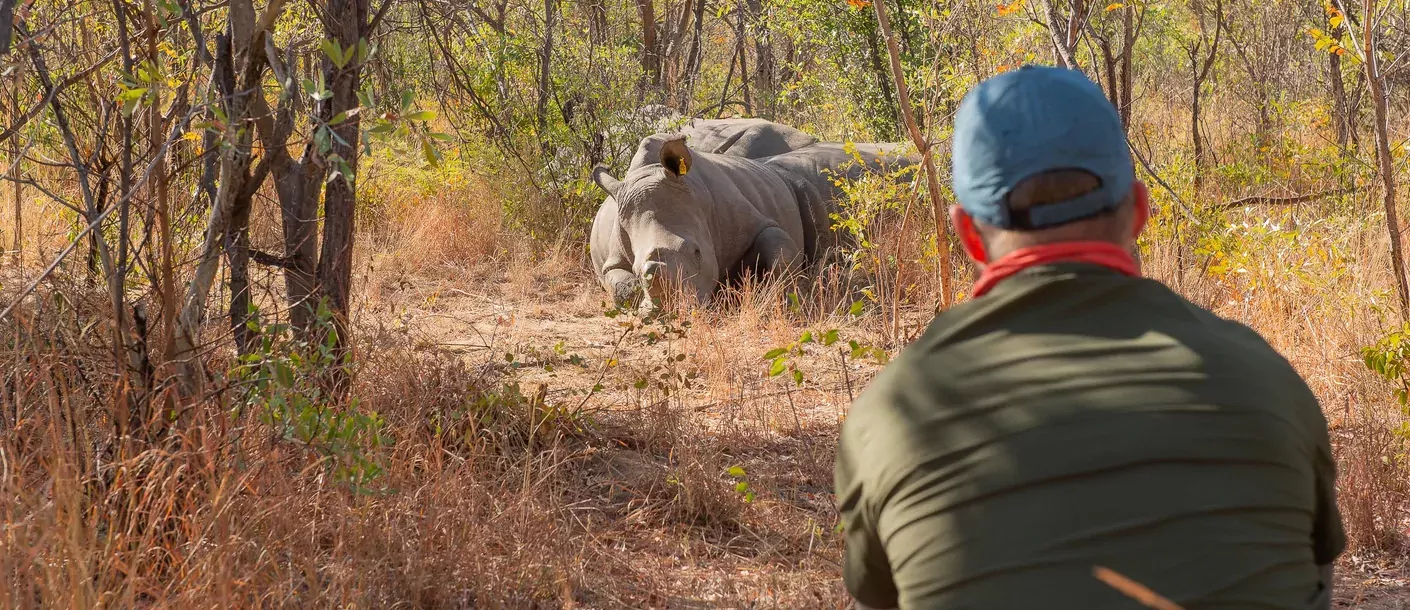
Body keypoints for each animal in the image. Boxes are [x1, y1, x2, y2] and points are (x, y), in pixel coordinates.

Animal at [592, 131, 913, 304]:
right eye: (636, 267)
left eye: (697, 253)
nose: (672, 308)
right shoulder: (613, 258)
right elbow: (622, 287)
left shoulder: (753, 221)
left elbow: (777, 249)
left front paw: (765, 293)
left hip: (791, 178)